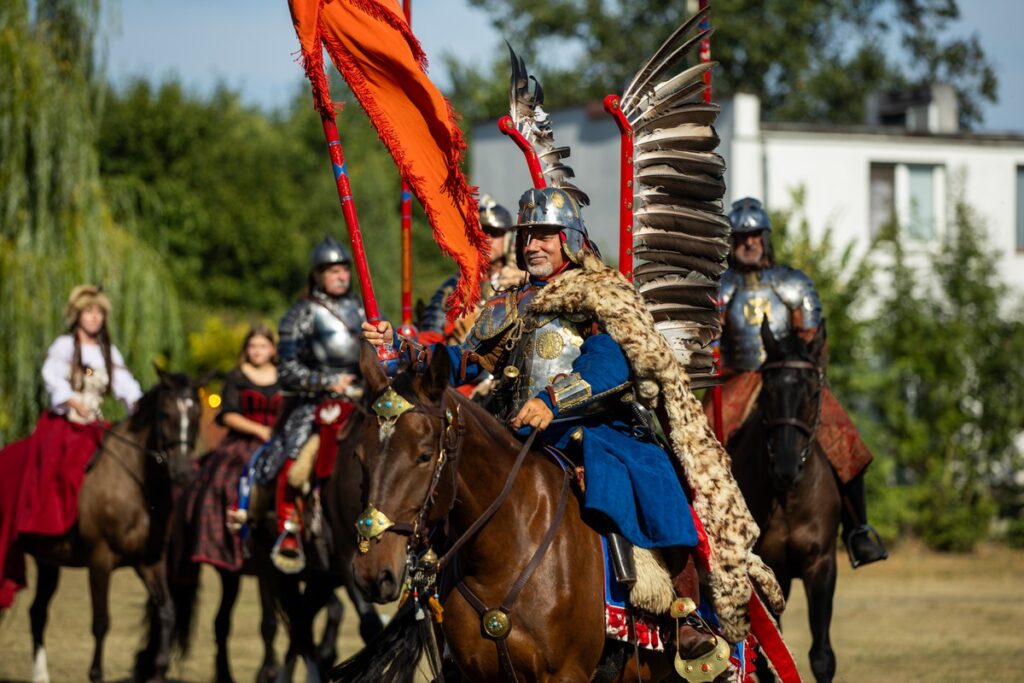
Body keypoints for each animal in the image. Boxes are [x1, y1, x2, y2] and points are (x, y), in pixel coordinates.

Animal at [21, 370, 203, 683]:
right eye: (166, 413)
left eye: (197, 414)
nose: (181, 472)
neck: (134, 487)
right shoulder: (100, 559)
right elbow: (101, 621)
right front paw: (95, 673)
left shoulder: (149, 562)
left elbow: (166, 611)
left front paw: (158, 670)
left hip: (48, 562)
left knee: (37, 612)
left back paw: (41, 676)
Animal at [335, 344, 684, 683]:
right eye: (359, 455)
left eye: (424, 455)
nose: (372, 572)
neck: (505, 551)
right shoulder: (474, 674)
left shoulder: (565, 673)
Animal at [729, 321, 839, 683]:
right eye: (767, 393)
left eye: (814, 392)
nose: (786, 468)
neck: (788, 498)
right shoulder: (769, 570)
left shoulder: (821, 564)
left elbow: (822, 657)